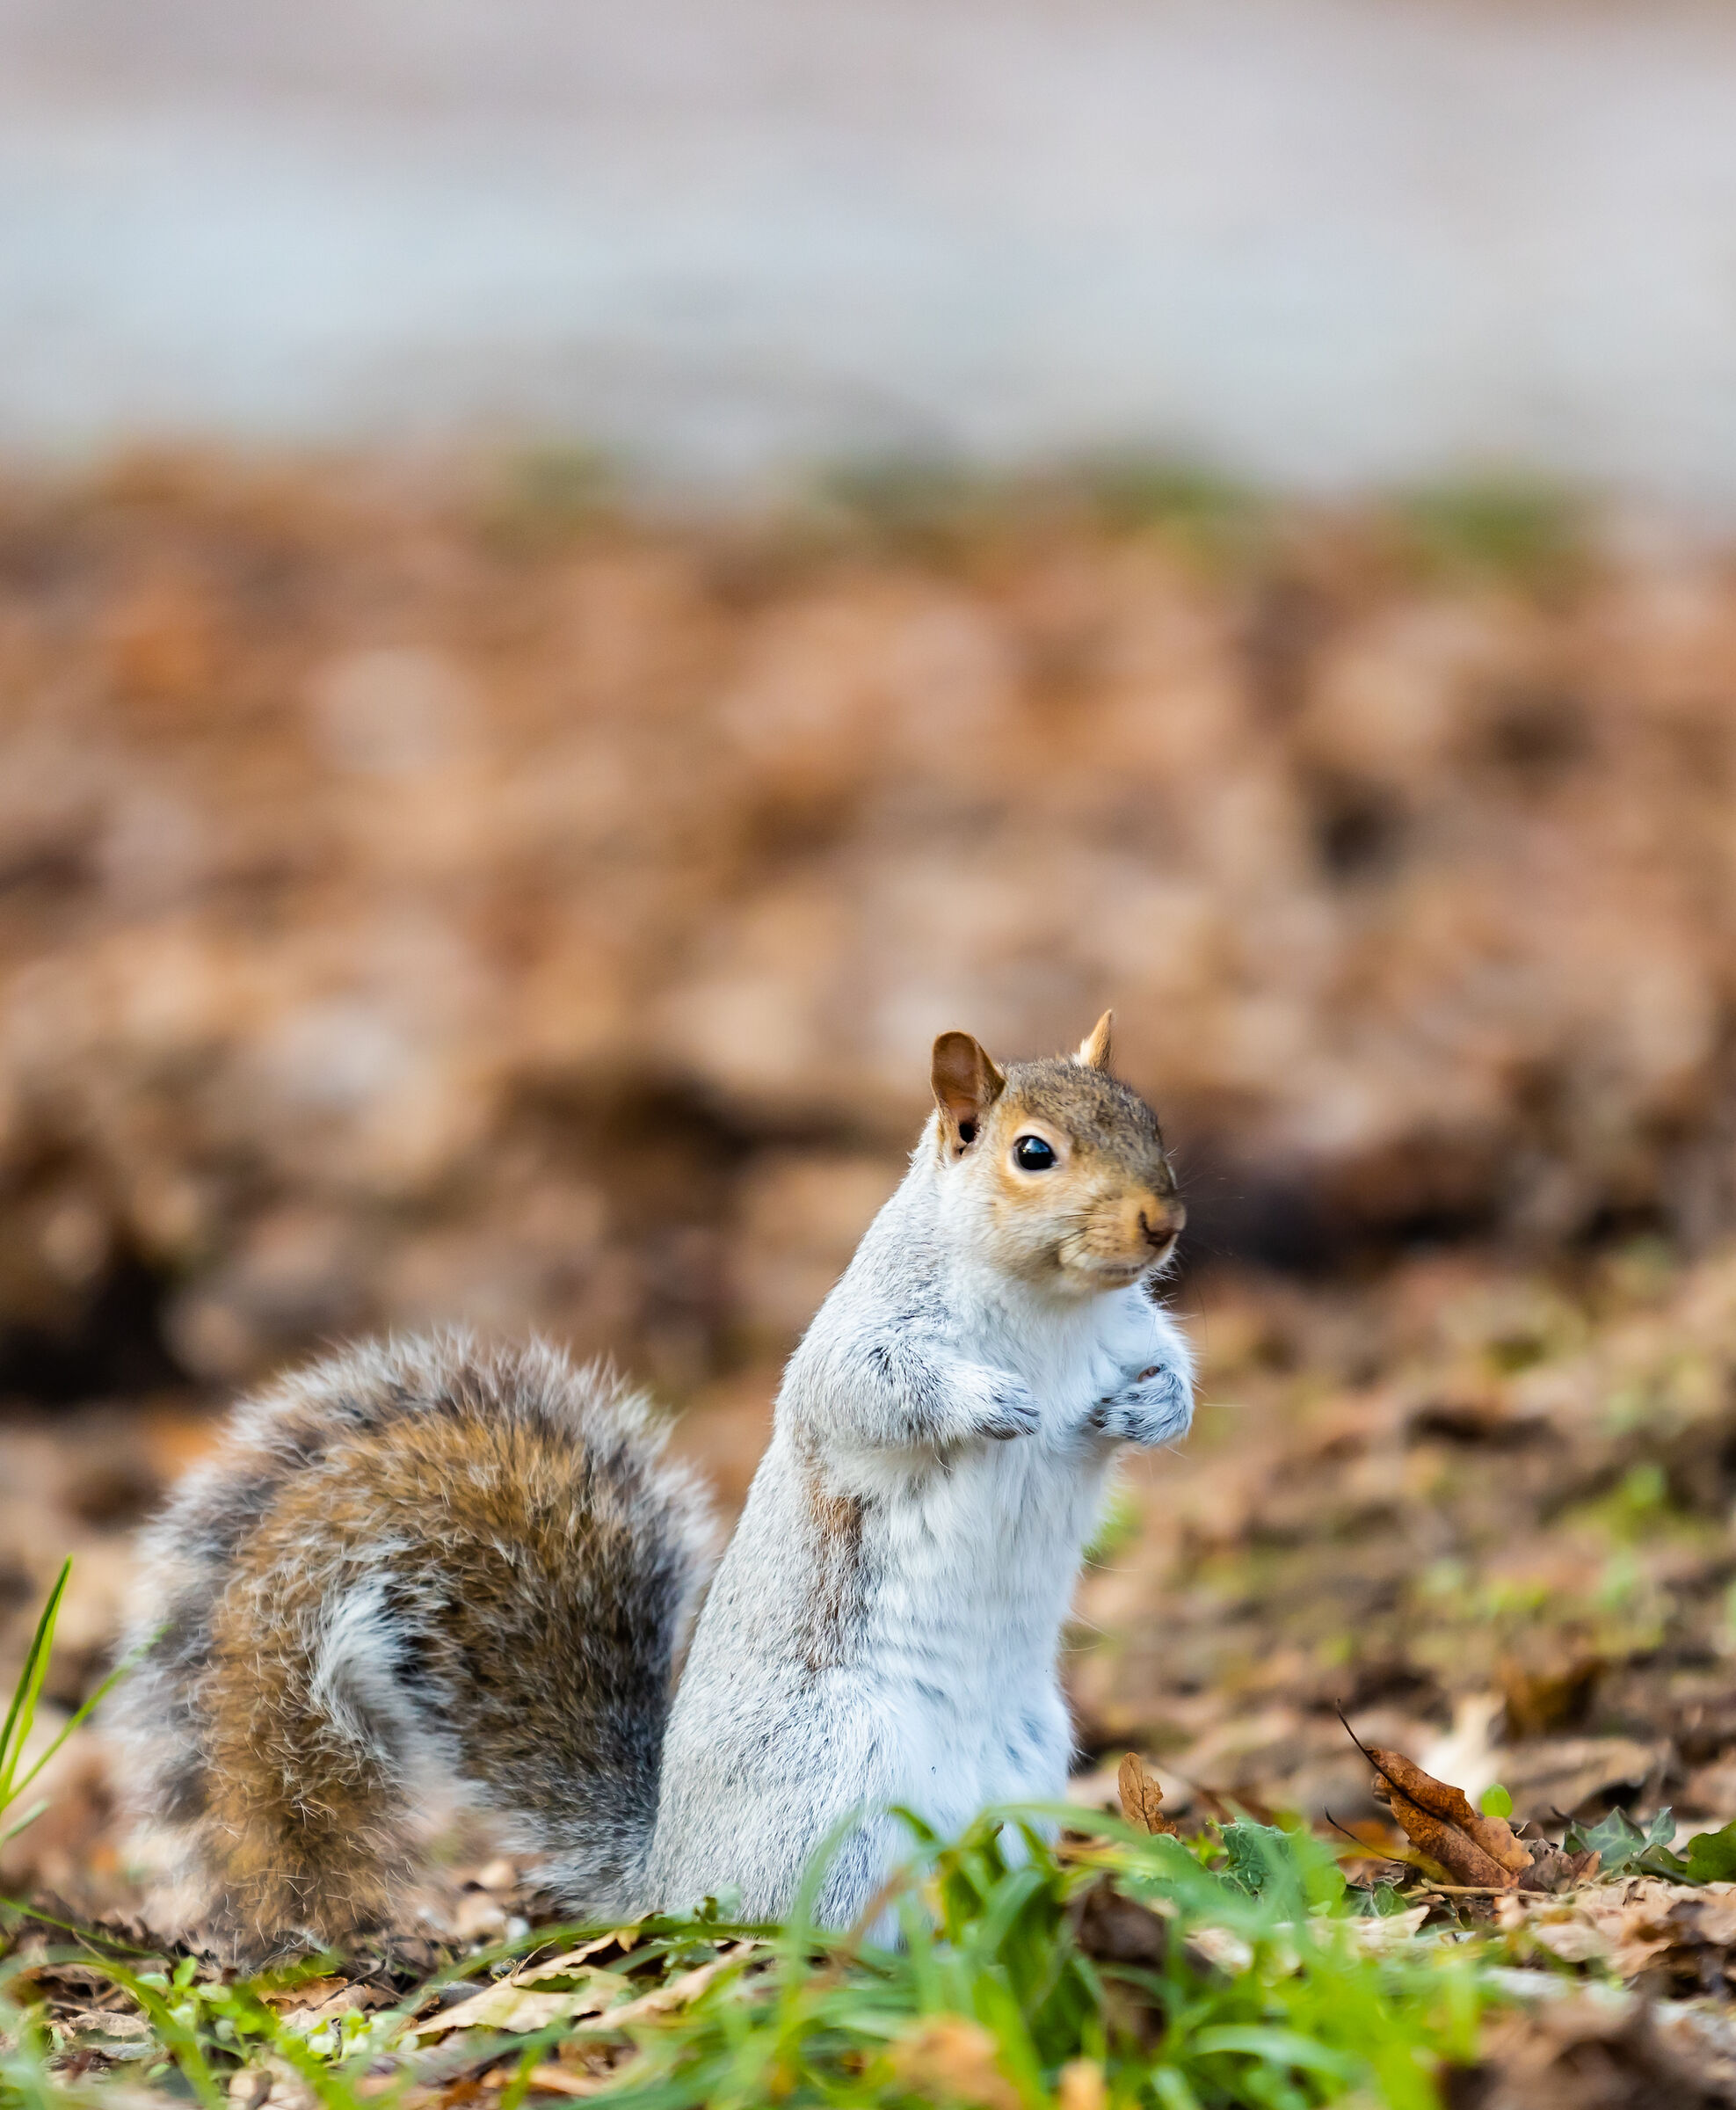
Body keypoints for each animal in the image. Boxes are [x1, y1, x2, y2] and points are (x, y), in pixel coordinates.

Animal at [113, 1013, 1192, 1959]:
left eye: (1149, 1119)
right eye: (1033, 1154)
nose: (1163, 1221)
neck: (1048, 1306)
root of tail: (669, 1877)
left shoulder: (1129, 1331)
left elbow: (1172, 1373)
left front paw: (1147, 1412)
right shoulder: (858, 1343)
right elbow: (869, 1394)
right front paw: (991, 1400)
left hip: (1019, 1776)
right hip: (836, 1788)